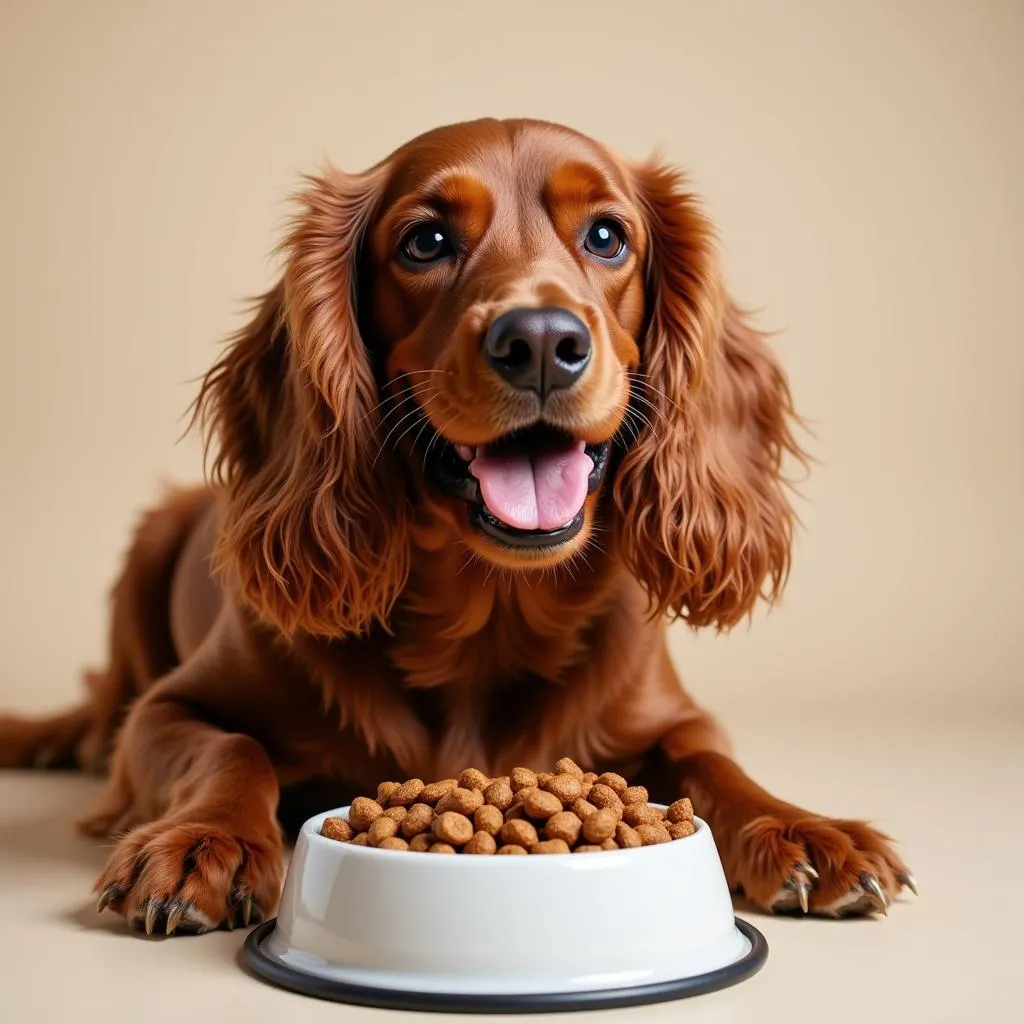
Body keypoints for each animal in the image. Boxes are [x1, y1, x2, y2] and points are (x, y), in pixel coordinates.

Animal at [0, 119, 913, 937]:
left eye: (608, 236)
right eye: (426, 241)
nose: (540, 341)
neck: (487, 611)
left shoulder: (672, 718)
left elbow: (713, 761)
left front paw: (802, 829)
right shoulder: (168, 709)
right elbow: (231, 751)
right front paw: (203, 842)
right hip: (147, 551)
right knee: (102, 713)